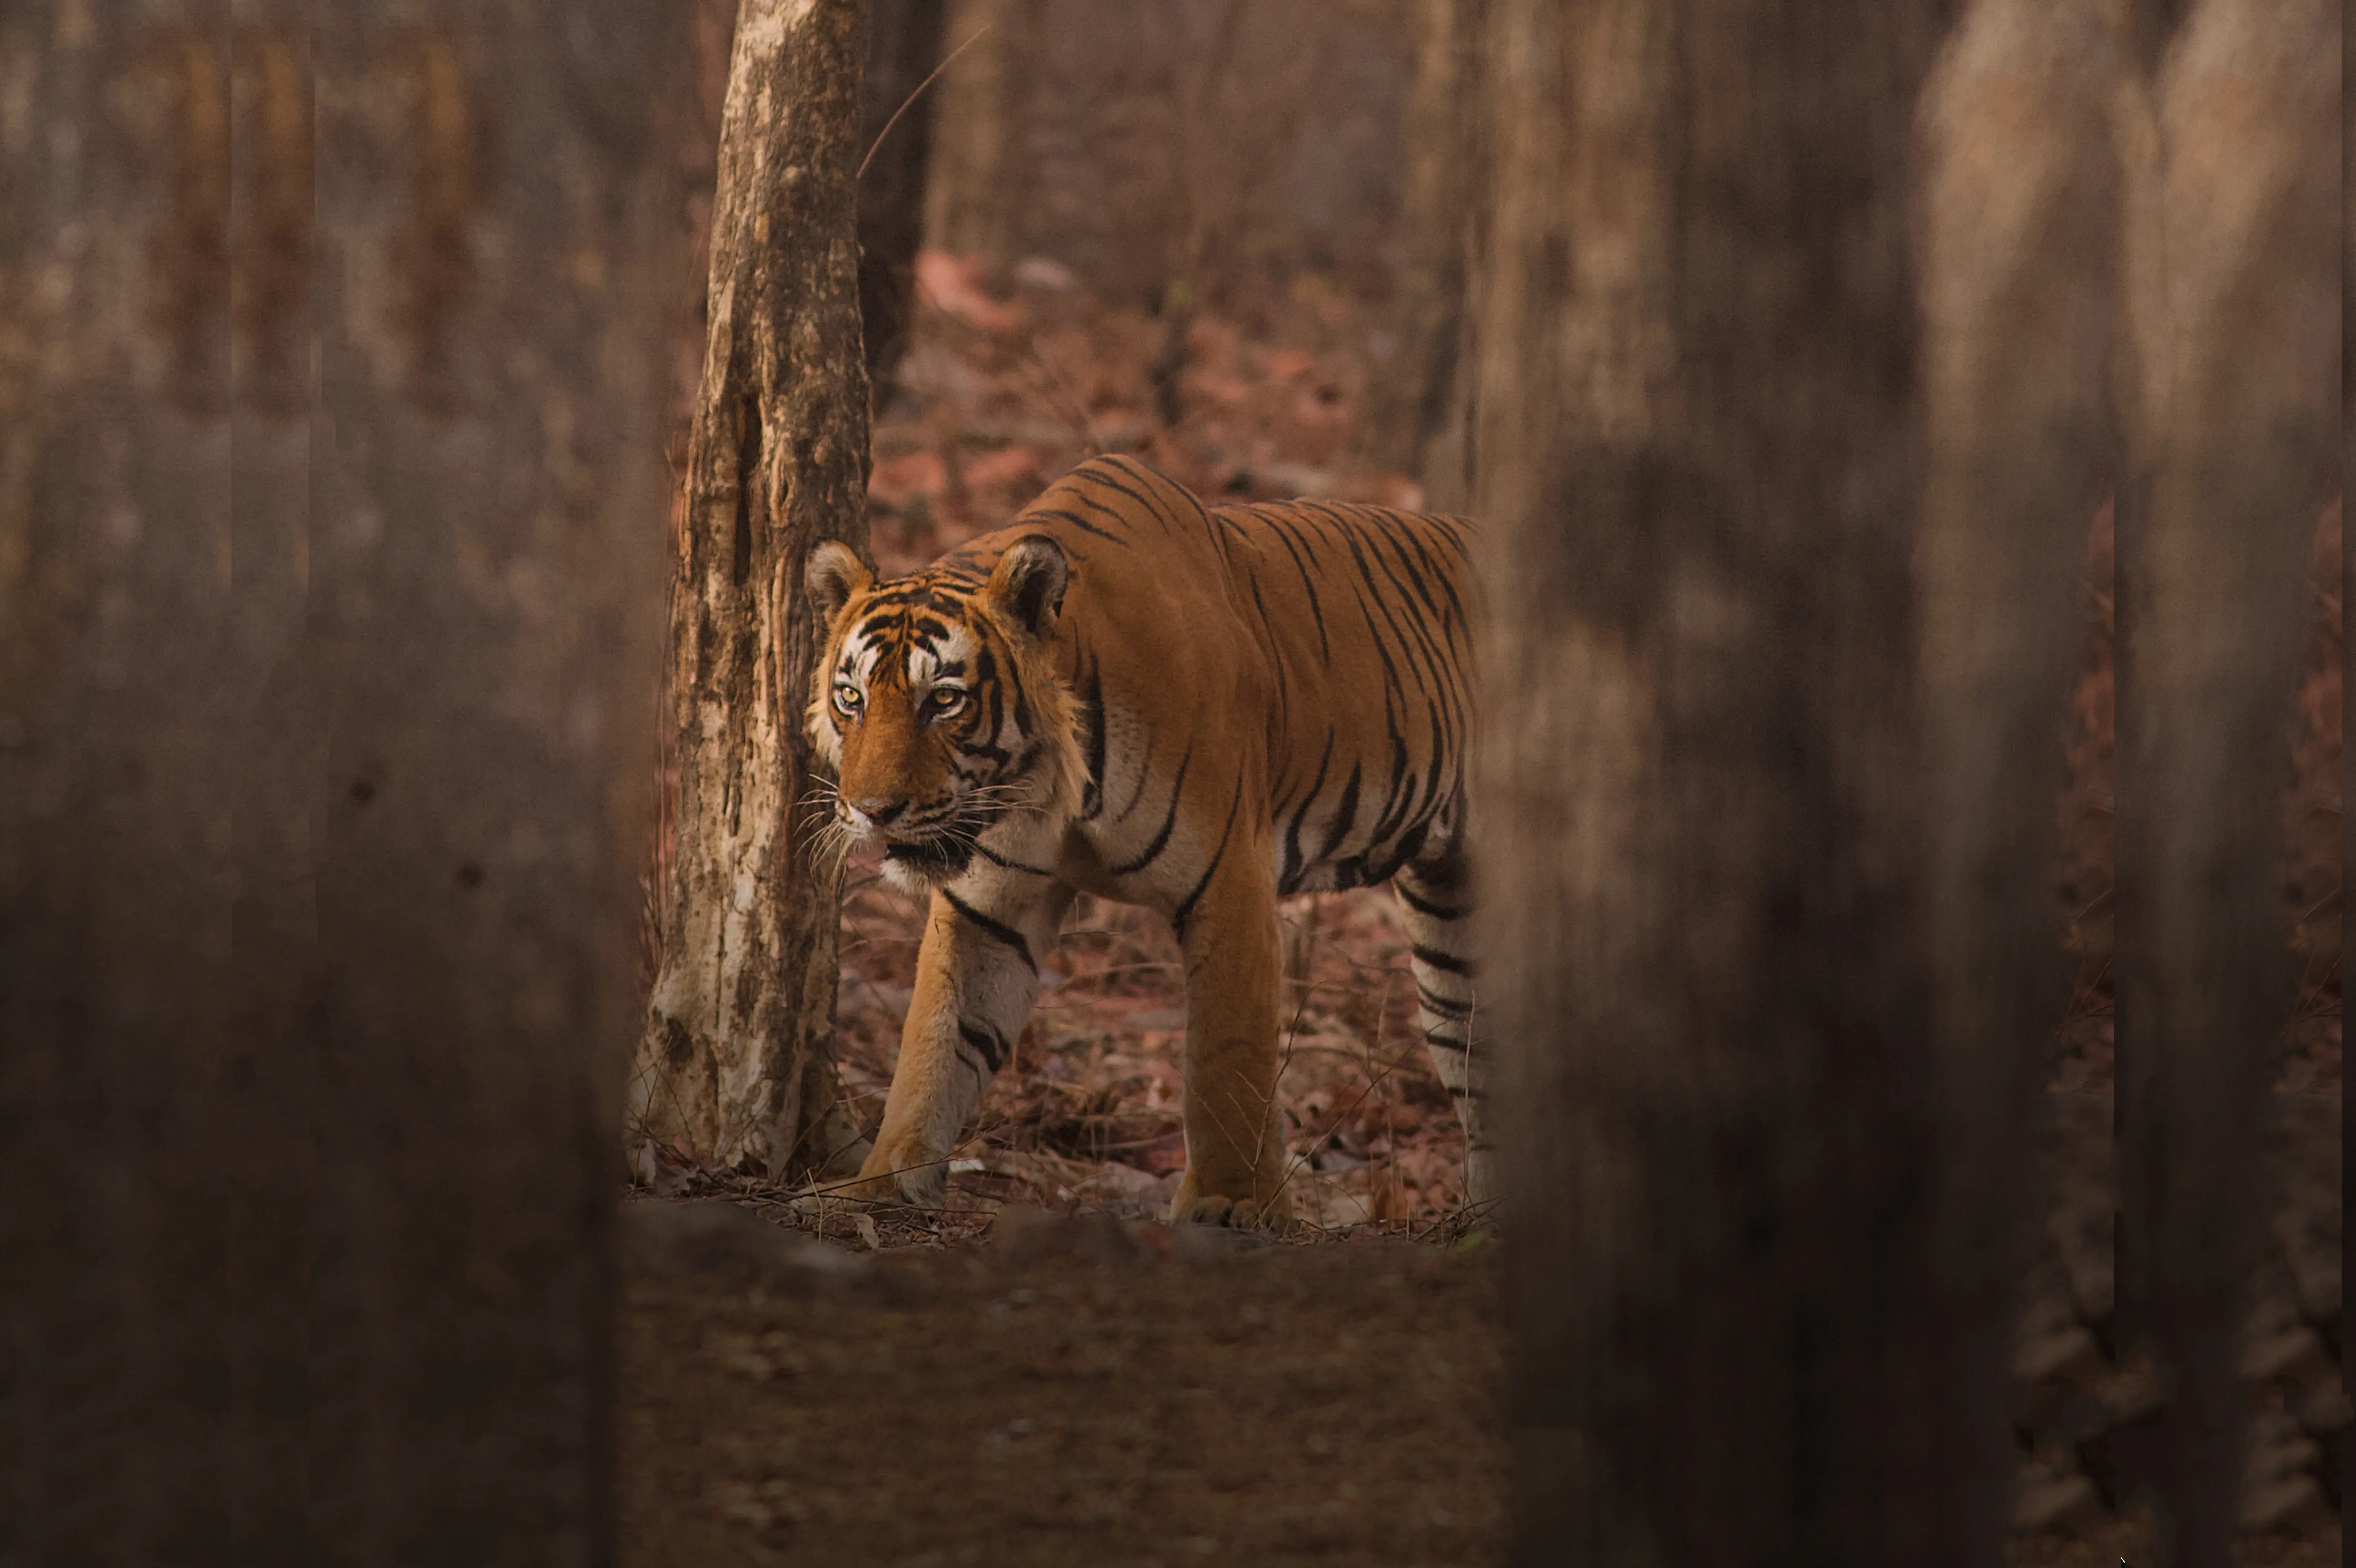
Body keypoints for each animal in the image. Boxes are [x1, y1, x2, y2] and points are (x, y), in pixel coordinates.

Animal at [806, 454, 1487, 1227]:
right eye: (852, 698)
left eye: (944, 701)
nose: (872, 811)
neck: (1052, 793)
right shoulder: (989, 907)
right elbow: (937, 1040)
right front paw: (884, 1182)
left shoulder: (1231, 882)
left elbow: (1226, 1059)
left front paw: (1229, 1204)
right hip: (1453, 929)